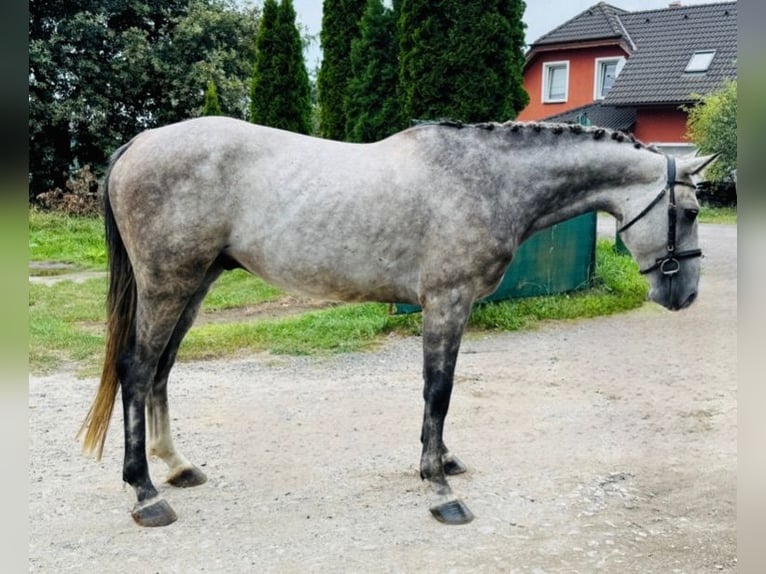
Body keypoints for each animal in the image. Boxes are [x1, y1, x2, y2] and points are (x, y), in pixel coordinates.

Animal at [79, 119, 720, 528]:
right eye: (688, 212)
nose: (685, 294)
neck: (485, 180)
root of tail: (141, 141)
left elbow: (438, 394)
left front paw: (441, 463)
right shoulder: (446, 302)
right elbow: (439, 390)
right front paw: (439, 488)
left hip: (194, 285)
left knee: (162, 370)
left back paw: (177, 466)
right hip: (168, 286)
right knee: (137, 370)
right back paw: (145, 493)